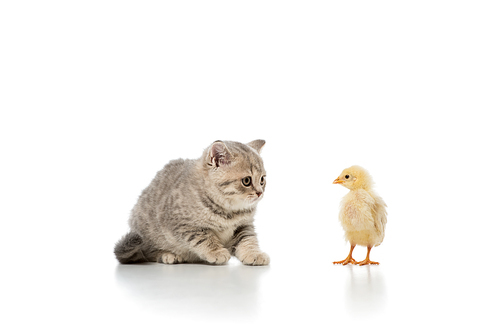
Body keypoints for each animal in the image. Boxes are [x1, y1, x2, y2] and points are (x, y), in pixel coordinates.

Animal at [114, 140, 270, 264]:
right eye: (246, 181)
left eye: (262, 180)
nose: (260, 193)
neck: (229, 210)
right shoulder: (183, 225)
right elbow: (203, 238)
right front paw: (216, 252)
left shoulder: (244, 225)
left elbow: (248, 240)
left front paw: (254, 254)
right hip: (146, 235)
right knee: (148, 252)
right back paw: (167, 255)